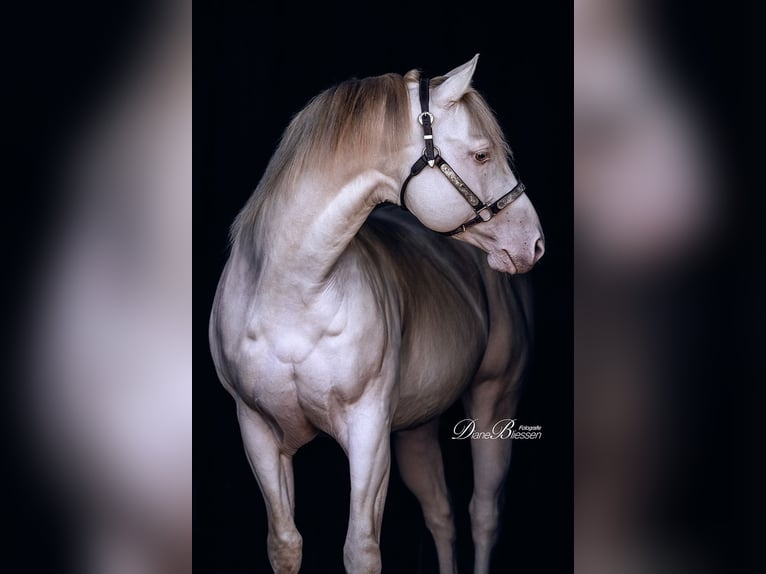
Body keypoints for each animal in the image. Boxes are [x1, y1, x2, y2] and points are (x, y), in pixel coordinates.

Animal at [209, 55, 544, 574]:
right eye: (483, 155)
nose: (534, 242)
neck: (292, 296)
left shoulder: (368, 431)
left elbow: (361, 549)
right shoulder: (257, 429)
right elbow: (285, 543)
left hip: (494, 405)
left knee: (483, 515)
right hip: (417, 428)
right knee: (441, 514)